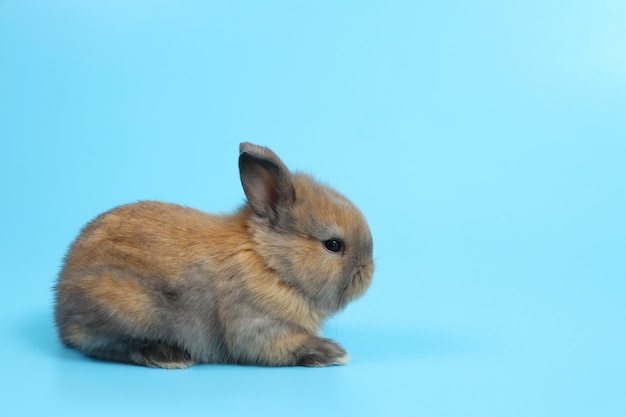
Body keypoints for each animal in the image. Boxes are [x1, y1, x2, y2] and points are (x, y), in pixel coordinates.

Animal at [53, 142, 372, 368]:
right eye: (333, 245)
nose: (368, 271)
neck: (269, 262)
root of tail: (60, 306)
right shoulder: (257, 327)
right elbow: (284, 347)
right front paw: (334, 353)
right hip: (126, 306)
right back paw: (170, 356)